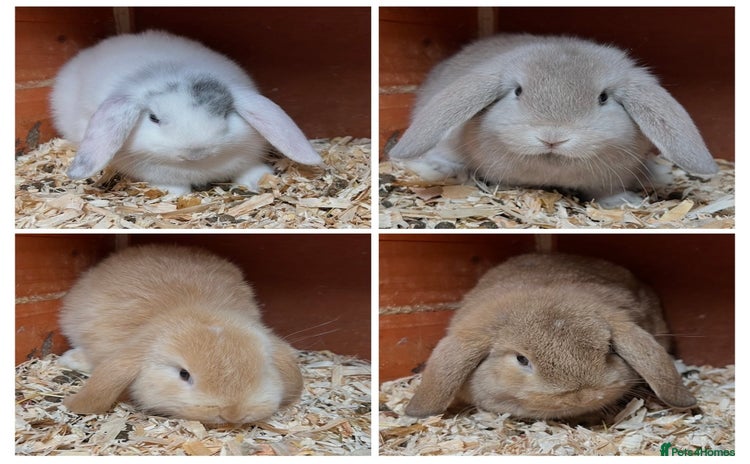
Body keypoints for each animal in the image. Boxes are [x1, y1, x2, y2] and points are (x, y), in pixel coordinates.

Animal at [50, 30, 323, 196]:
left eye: (225, 113)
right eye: (154, 118)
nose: (196, 151)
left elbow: (248, 169)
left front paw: (260, 180)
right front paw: (175, 193)